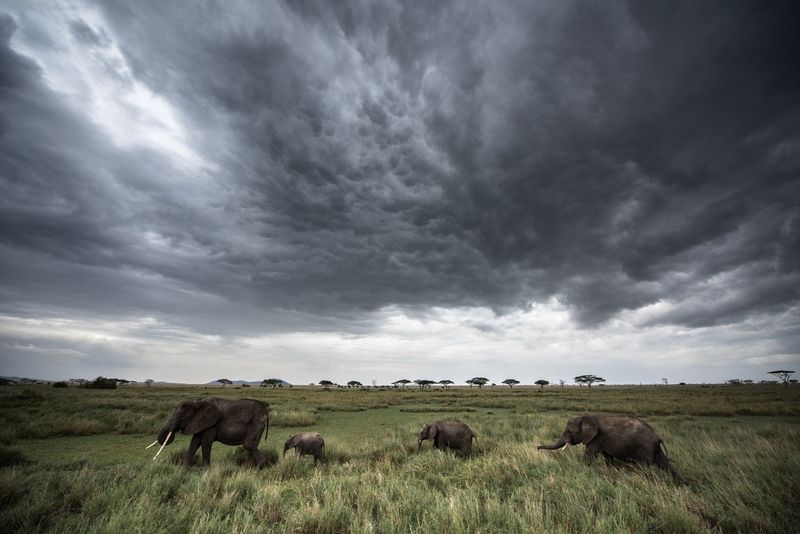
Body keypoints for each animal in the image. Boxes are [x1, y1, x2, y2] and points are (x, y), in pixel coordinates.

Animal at [537, 414, 686, 483]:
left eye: (569, 432)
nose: (537, 447)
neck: (587, 416)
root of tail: (657, 436)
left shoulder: (597, 437)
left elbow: (589, 456)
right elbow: (608, 458)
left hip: (645, 447)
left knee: (645, 467)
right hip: (655, 448)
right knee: (664, 464)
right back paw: (682, 483)